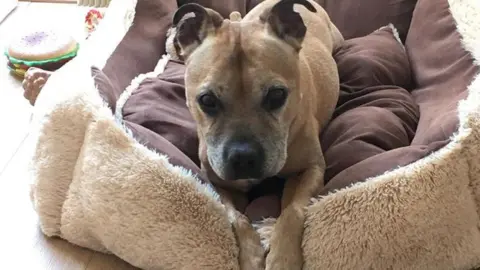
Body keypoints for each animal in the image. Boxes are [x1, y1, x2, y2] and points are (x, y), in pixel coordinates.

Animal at [171, 1, 344, 268]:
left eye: (277, 95)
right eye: (207, 100)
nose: (243, 157)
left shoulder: (312, 169)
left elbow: (294, 209)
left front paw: (283, 257)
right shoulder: (215, 181)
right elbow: (234, 216)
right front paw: (251, 254)